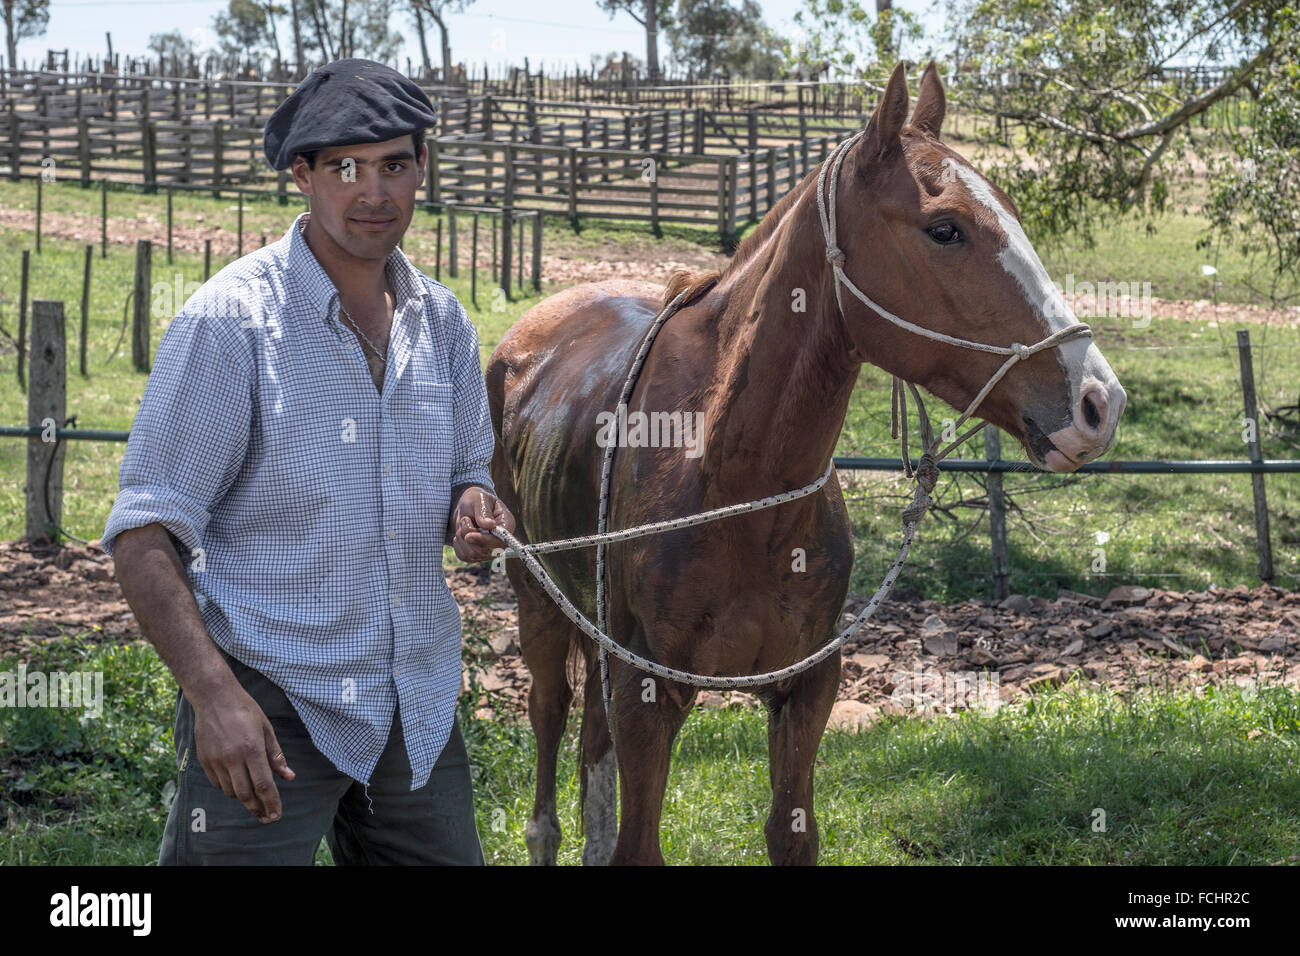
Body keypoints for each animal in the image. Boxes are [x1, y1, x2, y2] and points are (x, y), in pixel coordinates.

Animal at [485, 61, 1127, 866]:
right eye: (945, 228)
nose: (1098, 402)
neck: (732, 480)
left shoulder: (808, 686)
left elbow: (789, 832)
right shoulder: (645, 693)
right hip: (538, 601)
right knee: (550, 719)